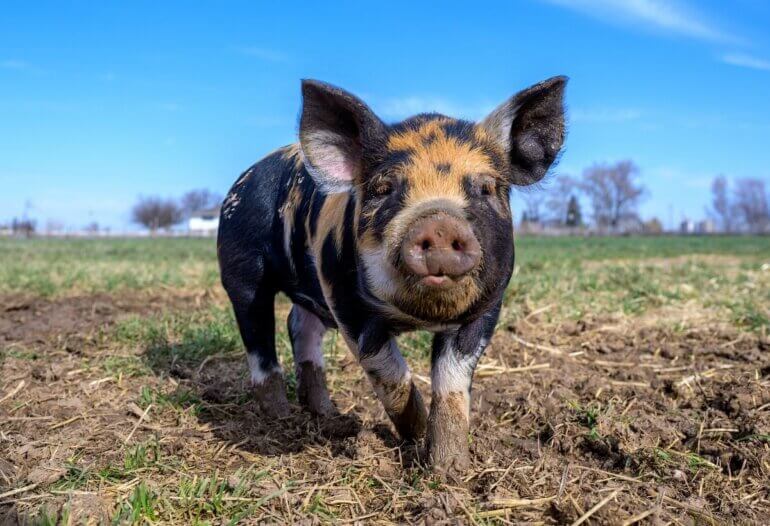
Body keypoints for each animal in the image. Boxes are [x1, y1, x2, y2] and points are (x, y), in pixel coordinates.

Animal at [217, 76, 566, 474]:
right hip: (241, 268)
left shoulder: (489, 306)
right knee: (259, 338)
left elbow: (452, 383)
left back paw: (326, 415)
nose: (440, 223)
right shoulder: (345, 300)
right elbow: (389, 373)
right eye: (384, 189)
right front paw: (415, 433)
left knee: (299, 327)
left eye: (487, 188)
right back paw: (279, 417)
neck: (417, 317)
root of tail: (246, 175)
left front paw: (449, 470)